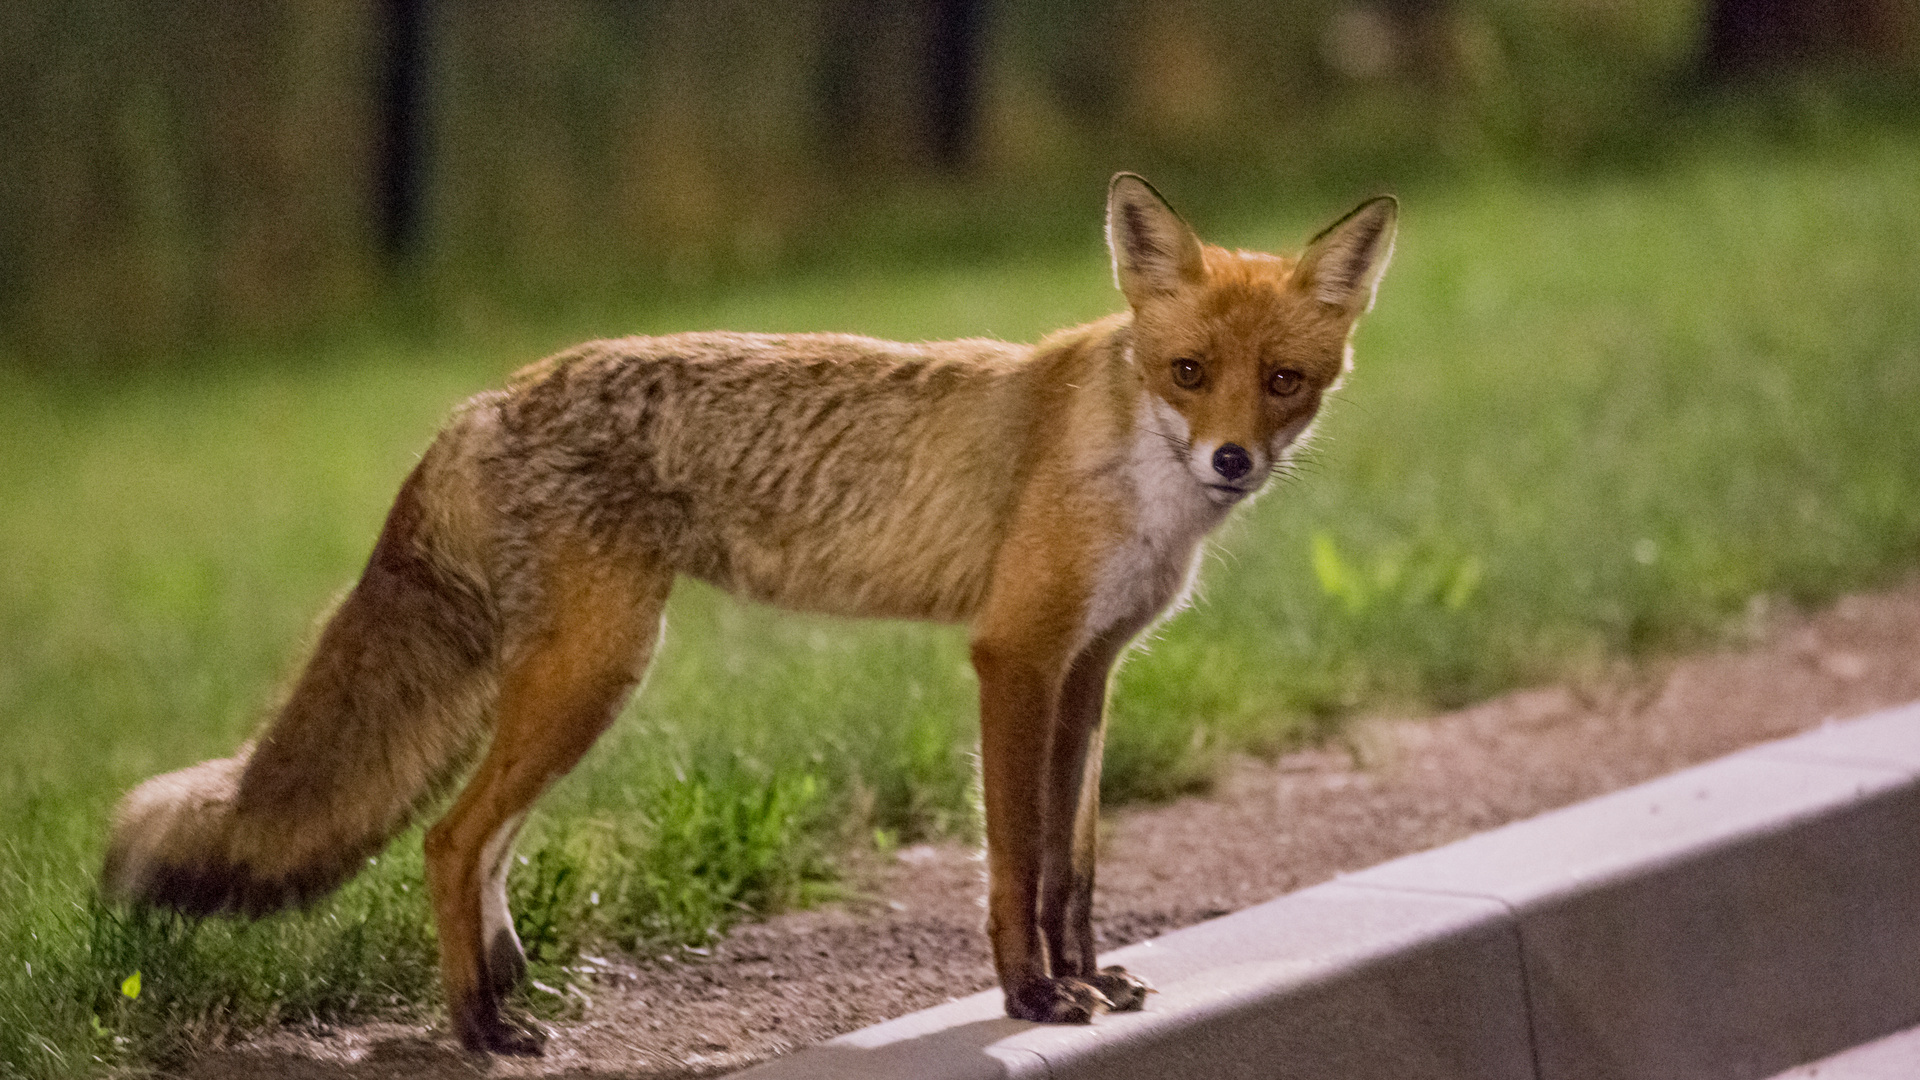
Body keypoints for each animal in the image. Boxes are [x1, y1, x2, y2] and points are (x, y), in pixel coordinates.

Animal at [101, 178, 1397, 1053]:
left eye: (1283, 382)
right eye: (1188, 372)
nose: (1231, 461)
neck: (1134, 469)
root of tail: (484, 399)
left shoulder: (1092, 670)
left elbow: (1070, 866)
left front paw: (1090, 978)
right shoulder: (1015, 658)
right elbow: (1015, 863)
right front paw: (1033, 998)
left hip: (578, 677)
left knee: (485, 841)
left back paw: (505, 986)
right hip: (598, 669)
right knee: (450, 837)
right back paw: (480, 1030)